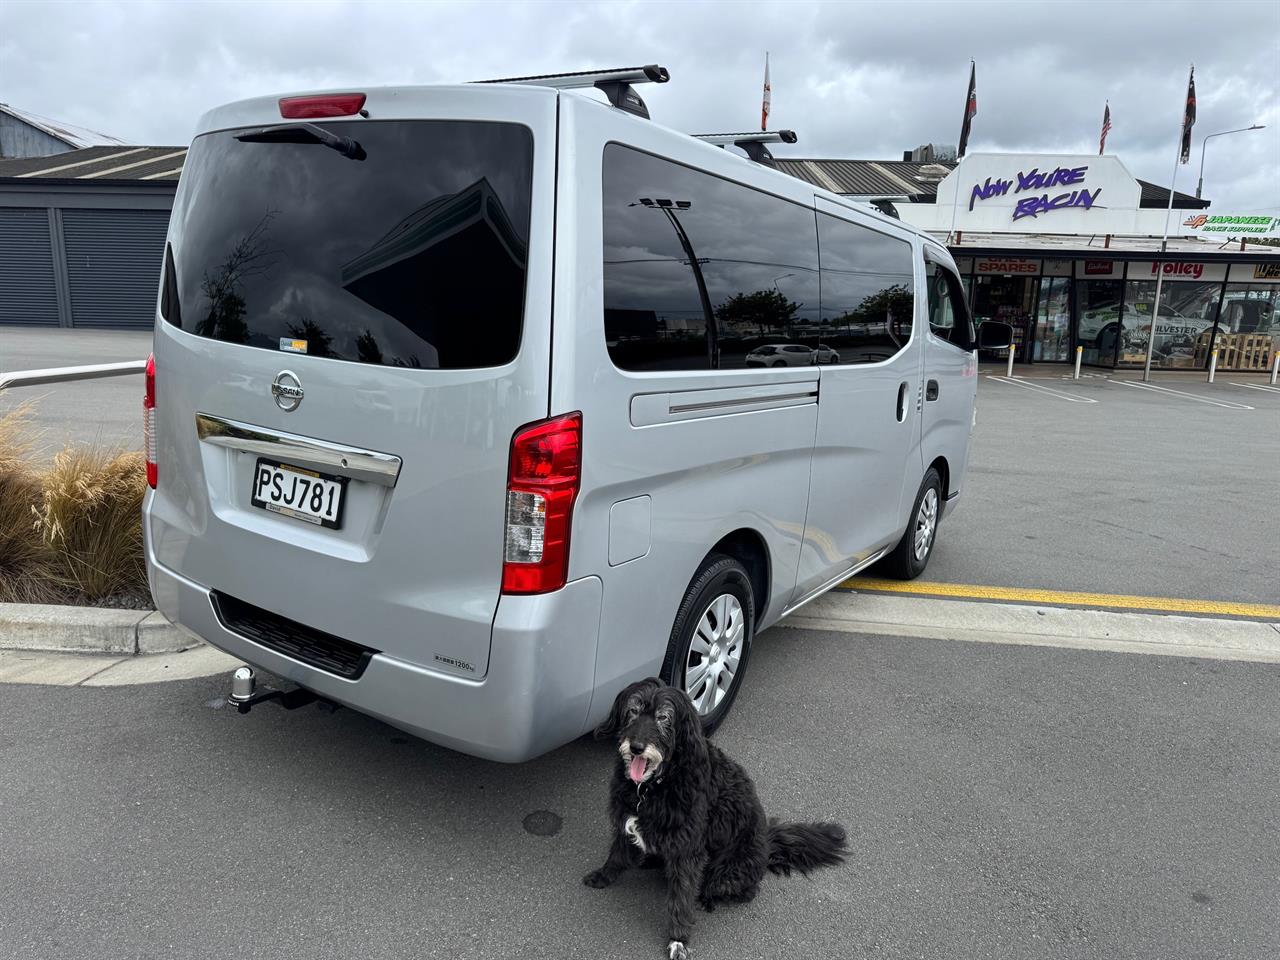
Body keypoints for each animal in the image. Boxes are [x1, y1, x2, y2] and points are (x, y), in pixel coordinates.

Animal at [583, 680, 844, 957]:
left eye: (664, 717)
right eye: (633, 711)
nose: (636, 747)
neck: (654, 786)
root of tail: (767, 841)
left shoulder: (687, 850)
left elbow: (680, 899)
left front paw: (678, 939)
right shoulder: (626, 820)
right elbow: (617, 853)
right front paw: (603, 876)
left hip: (728, 872)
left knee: (742, 890)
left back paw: (707, 897)